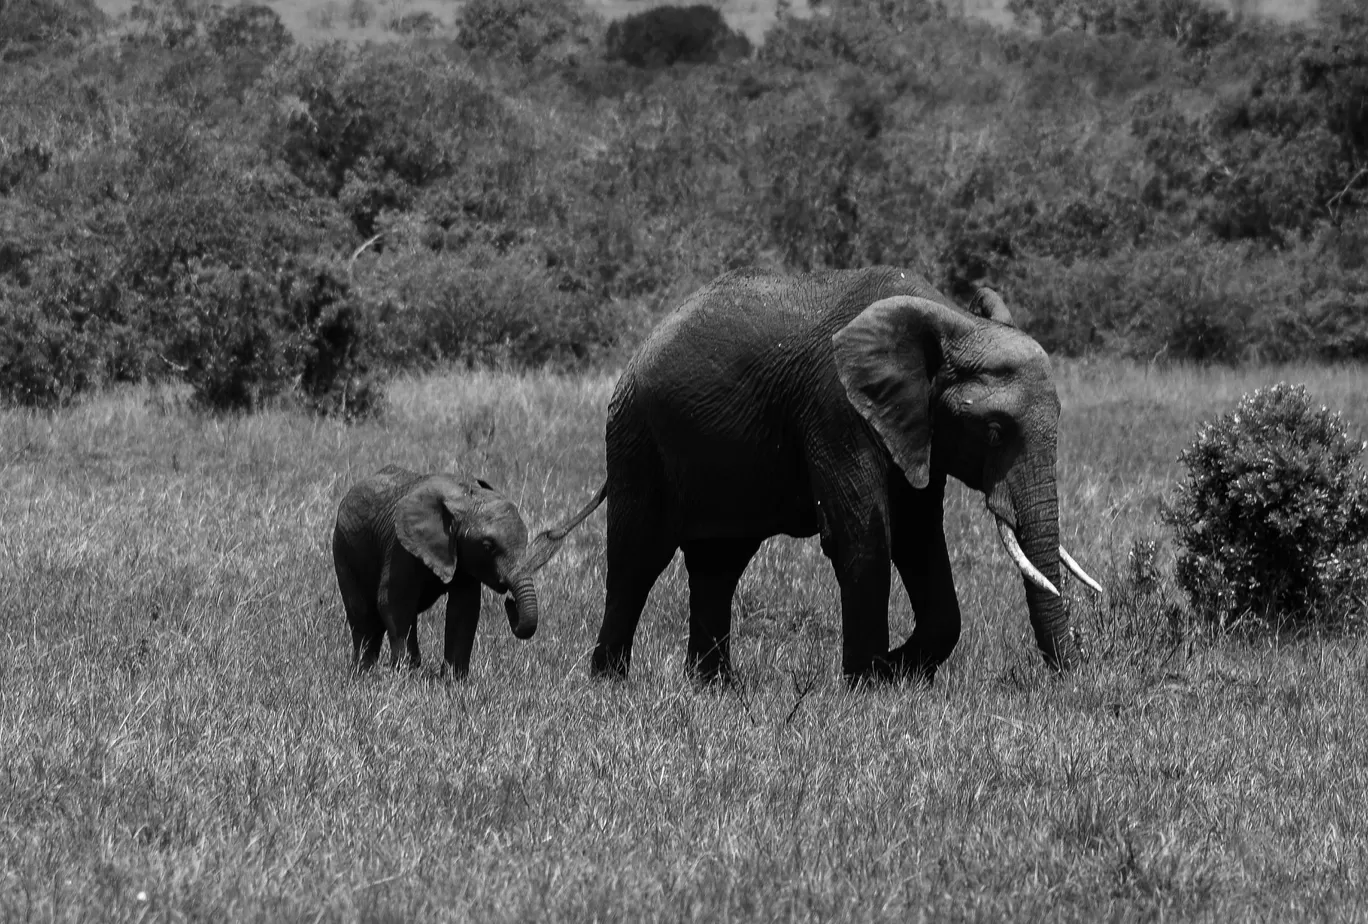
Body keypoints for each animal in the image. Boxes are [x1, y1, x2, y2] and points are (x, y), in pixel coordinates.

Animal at [331, 465, 604, 676]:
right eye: (488, 546)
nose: (511, 602)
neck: (463, 498)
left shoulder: (465, 557)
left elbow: (464, 609)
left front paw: (453, 682)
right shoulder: (400, 545)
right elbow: (394, 602)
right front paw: (404, 676)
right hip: (343, 549)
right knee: (363, 615)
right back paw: (364, 673)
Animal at [593, 266, 1105, 687]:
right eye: (995, 432)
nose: (1071, 675)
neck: (950, 320)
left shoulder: (917, 427)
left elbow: (918, 539)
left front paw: (895, 670)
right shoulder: (836, 409)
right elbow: (862, 534)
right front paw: (869, 682)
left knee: (718, 563)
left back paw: (714, 687)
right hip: (636, 437)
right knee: (636, 556)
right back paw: (611, 682)